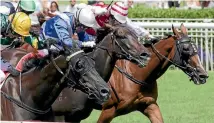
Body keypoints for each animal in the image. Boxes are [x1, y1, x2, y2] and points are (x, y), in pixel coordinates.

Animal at [51, 23, 208, 122]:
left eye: (196, 47)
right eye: (186, 49)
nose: (203, 74)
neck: (137, 75)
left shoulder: (149, 105)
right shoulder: (108, 110)